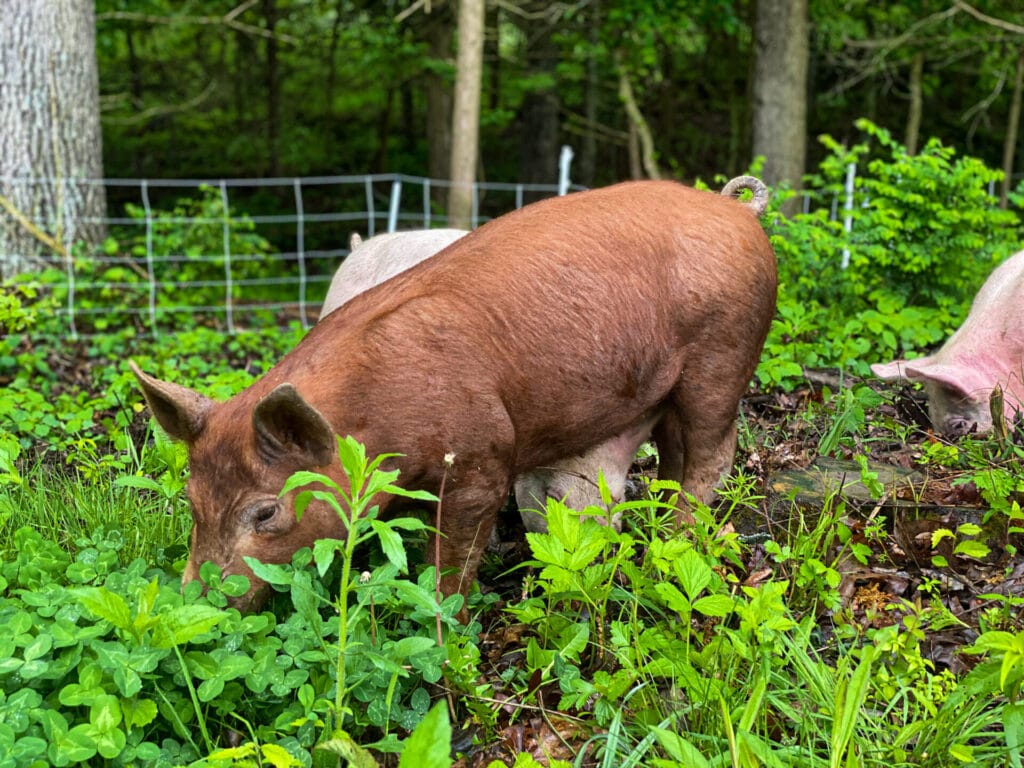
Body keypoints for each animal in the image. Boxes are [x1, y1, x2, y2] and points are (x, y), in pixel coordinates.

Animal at [132, 179, 778, 614]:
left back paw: (675, 542)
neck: (376, 412)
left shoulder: (483, 458)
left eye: (265, 512)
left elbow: (455, 555)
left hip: (723, 356)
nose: (189, 602)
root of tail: (737, 208)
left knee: (712, 455)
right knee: (674, 456)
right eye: (190, 498)